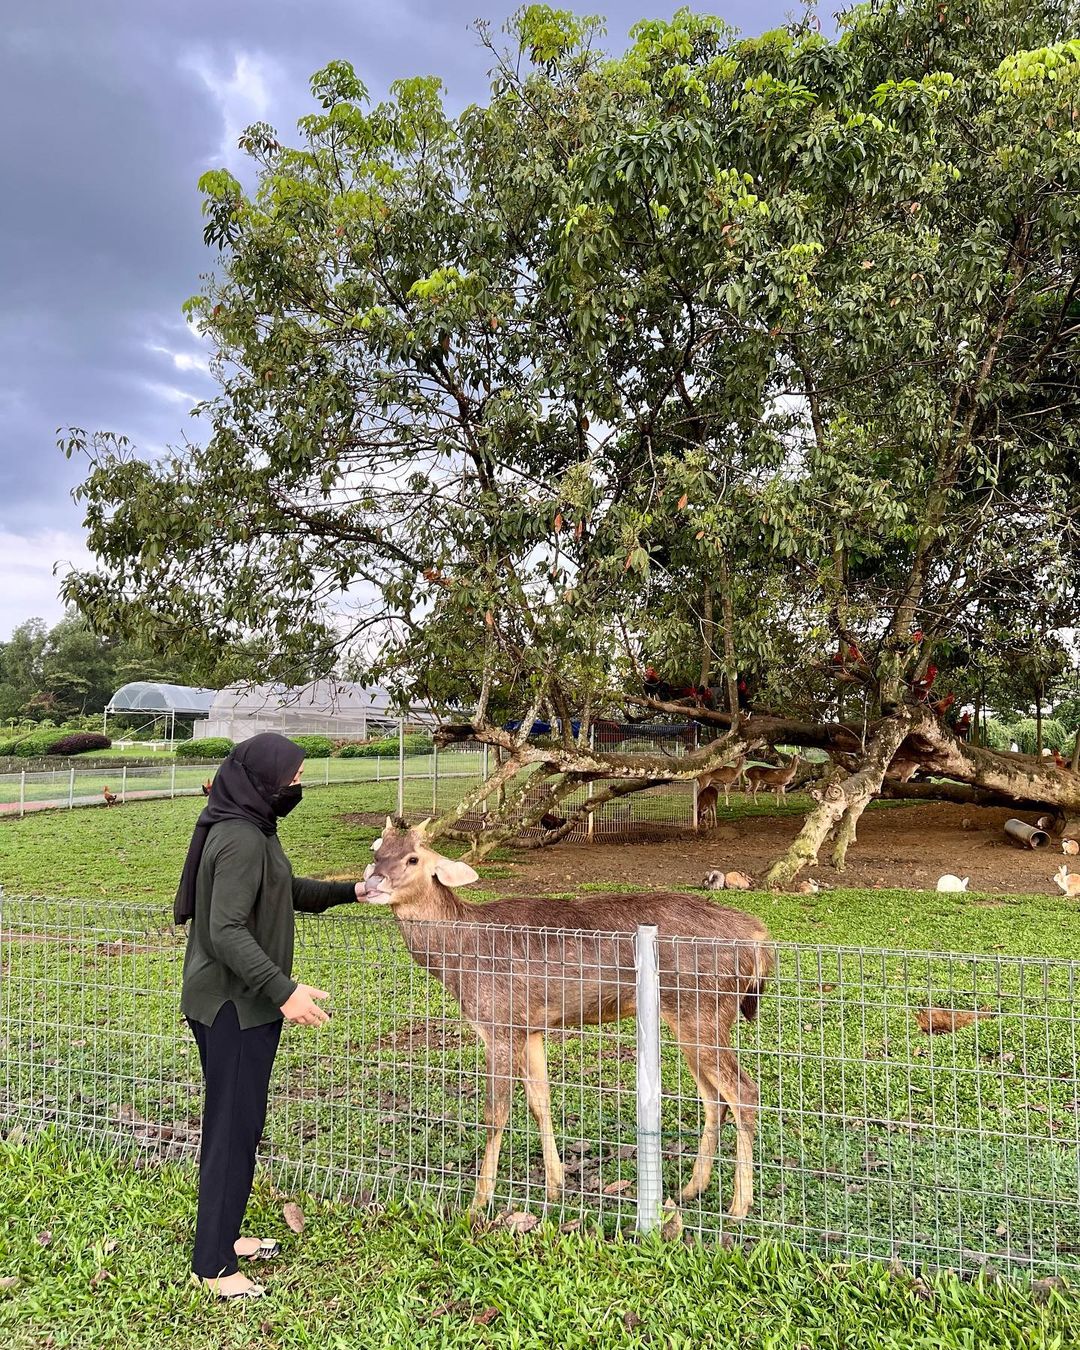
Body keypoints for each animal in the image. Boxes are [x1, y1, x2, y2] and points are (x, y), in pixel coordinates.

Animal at [364, 815, 777, 1220]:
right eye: (377, 851)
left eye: (413, 859)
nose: (369, 884)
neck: (460, 958)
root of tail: (759, 939)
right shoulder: (530, 1027)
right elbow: (540, 1101)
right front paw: (555, 1185)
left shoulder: (499, 1023)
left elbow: (495, 1113)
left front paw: (479, 1203)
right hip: (692, 1018)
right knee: (715, 1100)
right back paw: (692, 1188)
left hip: (703, 1009)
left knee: (744, 1093)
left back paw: (739, 1206)